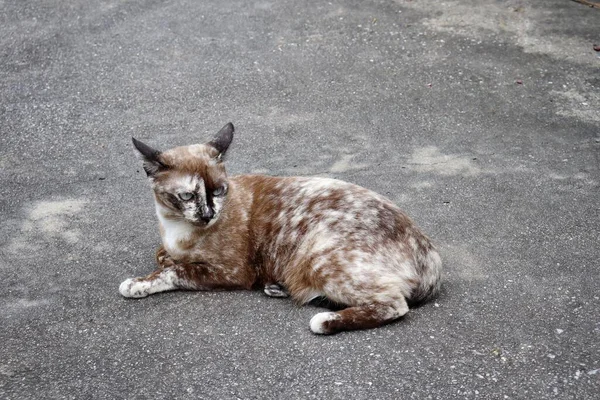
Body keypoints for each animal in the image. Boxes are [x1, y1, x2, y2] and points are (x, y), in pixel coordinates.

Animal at [120, 122, 440, 334]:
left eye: (219, 191)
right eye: (187, 196)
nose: (209, 214)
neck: (175, 226)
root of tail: (430, 254)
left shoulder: (232, 272)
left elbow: (174, 271)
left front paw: (138, 284)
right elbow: (163, 256)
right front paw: (166, 258)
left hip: (318, 257)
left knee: (394, 304)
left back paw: (324, 320)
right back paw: (280, 288)